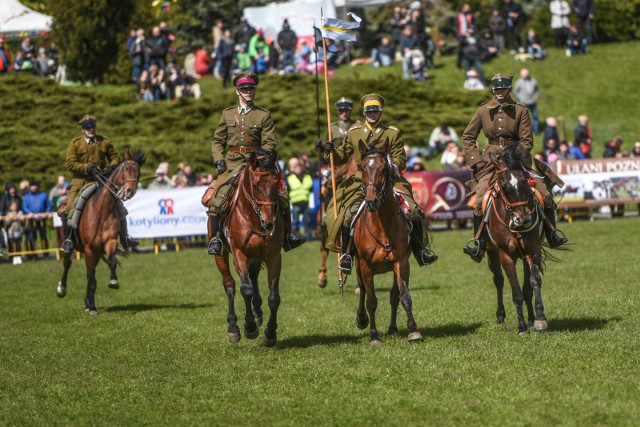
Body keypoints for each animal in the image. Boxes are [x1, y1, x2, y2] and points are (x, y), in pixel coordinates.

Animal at [56, 150, 145, 314]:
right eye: (125, 169)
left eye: (139, 172)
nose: (130, 191)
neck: (101, 210)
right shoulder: (89, 250)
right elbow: (91, 278)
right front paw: (91, 307)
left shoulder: (109, 242)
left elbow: (111, 262)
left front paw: (113, 281)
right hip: (71, 247)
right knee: (67, 264)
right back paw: (62, 289)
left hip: (97, 253)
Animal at [214, 150, 284, 348]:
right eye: (255, 184)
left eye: (276, 183)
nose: (269, 222)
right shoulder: (240, 254)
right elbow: (246, 290)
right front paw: (249, 327)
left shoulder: (274, 257)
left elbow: (274, 298)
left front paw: (270, 333)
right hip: (221, 255)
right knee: (229, 284)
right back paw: (233, 326)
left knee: (253, 277)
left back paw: (258, 312)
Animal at [350, 140, 420, 344]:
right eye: (364, 168)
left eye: (384, 168)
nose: (371, 200)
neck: (383, 227)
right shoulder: (365, 266)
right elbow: (371, 300)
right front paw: (374, 335)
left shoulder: (402, 263)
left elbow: (404, 296)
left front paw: (413, 330)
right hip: (358, 267)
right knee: (363, 291)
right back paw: (362, 319)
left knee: (393, 295)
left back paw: (393, 328)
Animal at [484, 144, 552, 334]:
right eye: (503, 184)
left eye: (524, 180)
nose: (524, 219)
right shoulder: (506, 256)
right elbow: (516, 292)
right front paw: (521, 327)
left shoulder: (533, 250)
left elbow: (534, 282)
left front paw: (540, 319)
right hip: (491, 253)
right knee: (498, 281)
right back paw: (501, 317)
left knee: (527, 286)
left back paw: (531, 318)